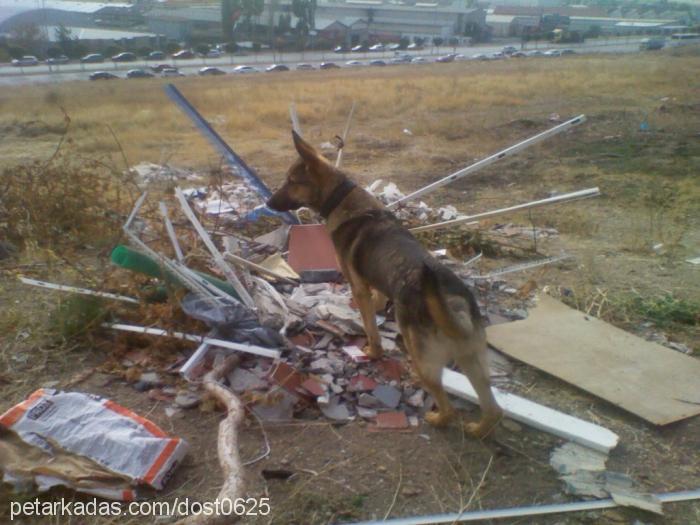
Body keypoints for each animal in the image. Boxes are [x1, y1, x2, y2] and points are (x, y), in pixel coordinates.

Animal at [268, 132, 504, 438]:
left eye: (291, 181)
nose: (268, 203)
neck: (343, 199)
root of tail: (453, 303)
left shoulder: (358, 287)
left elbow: (370, 327)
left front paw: (372, 352)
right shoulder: (375, 284)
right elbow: (377, 306)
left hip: (423, 359)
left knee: (448, 406)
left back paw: (438, 419)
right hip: (472, 361)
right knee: (493, 408)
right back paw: (478, 430)